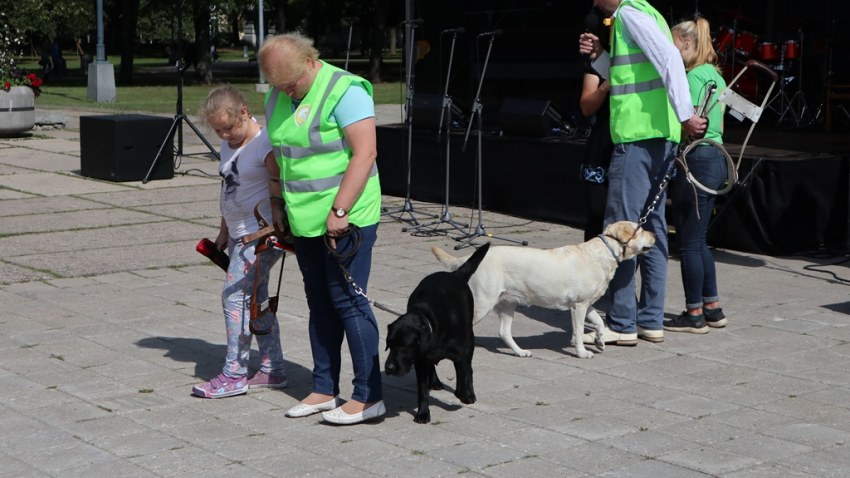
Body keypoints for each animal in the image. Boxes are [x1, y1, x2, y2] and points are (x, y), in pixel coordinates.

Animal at [384, 243, 490, 422]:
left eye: (404, 346)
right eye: (389, 345)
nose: (389, 368)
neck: (430, 320)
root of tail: (454, 274)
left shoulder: (462, 353)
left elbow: (463, 378)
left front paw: (465, 394)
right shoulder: (420, 360)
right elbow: (422, 391)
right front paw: (422, 413)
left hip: (470, 340)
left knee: (468, 369)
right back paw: (434, 381)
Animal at [430, 220, 656, 358]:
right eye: (641, 229)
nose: (654, 234)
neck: (604, 252)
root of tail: (471, 258)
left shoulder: (587, 304)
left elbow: (599, 323)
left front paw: (600, 341)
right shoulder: (579, 306)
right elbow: (579, 331)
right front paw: (582, 351)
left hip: (507, 303)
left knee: (504, 332)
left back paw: (520, 352)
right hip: (483, 302)